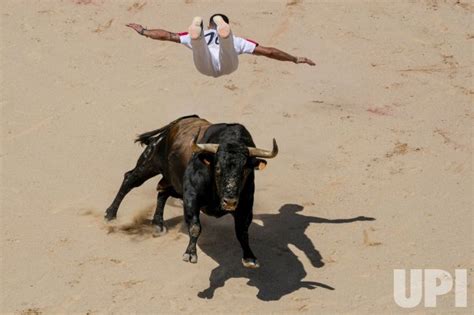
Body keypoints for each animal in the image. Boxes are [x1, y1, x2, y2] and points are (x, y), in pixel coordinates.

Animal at [102, 115, 276, 268]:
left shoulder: (245, 204)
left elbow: (242, 231)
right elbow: (195, 226)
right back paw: (110, 214)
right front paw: (190, 254)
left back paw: (158, 224)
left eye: (245, 171)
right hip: (150, 162)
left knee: (162, 192)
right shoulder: (191, 197)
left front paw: (250, 258)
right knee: (129, 180)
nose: (230, 202)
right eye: (217, 168)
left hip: (174, 183)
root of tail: (172, 126)